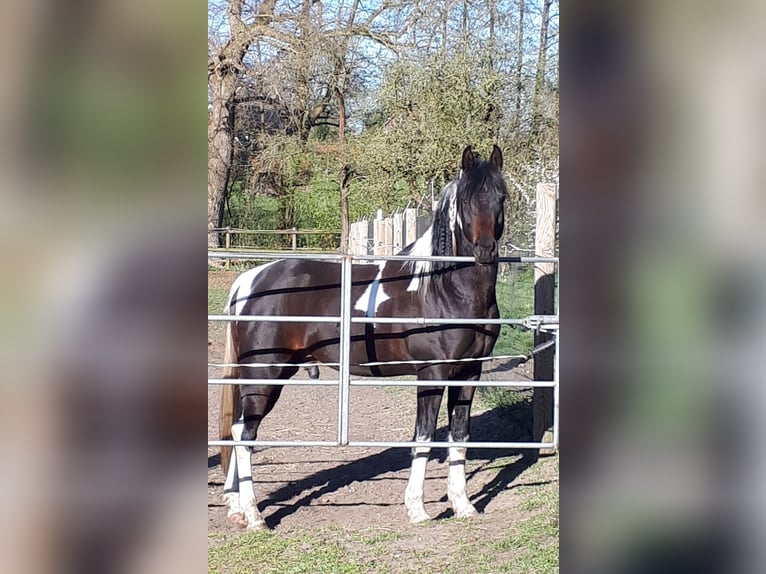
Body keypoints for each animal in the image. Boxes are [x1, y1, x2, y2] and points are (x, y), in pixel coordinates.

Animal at [218, 145, 507, 529]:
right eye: (465, 199)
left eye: (501, 196)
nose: (485, 250)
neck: (442, 287)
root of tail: (249, 280)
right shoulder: (432, 373)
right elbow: (424, 437)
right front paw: (418, 510)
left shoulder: (469, 372)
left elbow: (459, 438)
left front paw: (463, 506)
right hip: (265, 375)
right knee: (244, 434)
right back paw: (254, 516)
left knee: (237, 429)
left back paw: (236, 508)